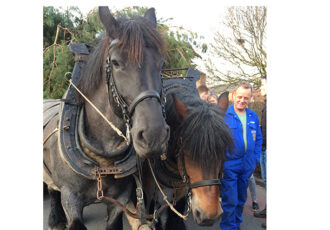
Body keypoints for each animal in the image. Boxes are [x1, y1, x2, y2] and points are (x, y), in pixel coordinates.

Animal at [43, 7, 170, 230]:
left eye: (161, 63)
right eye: (116, 62)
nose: (154, 136)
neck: (102, 160)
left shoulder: (120, 198)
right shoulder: (70, 199)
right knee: (52, 188)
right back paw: (55, 219)